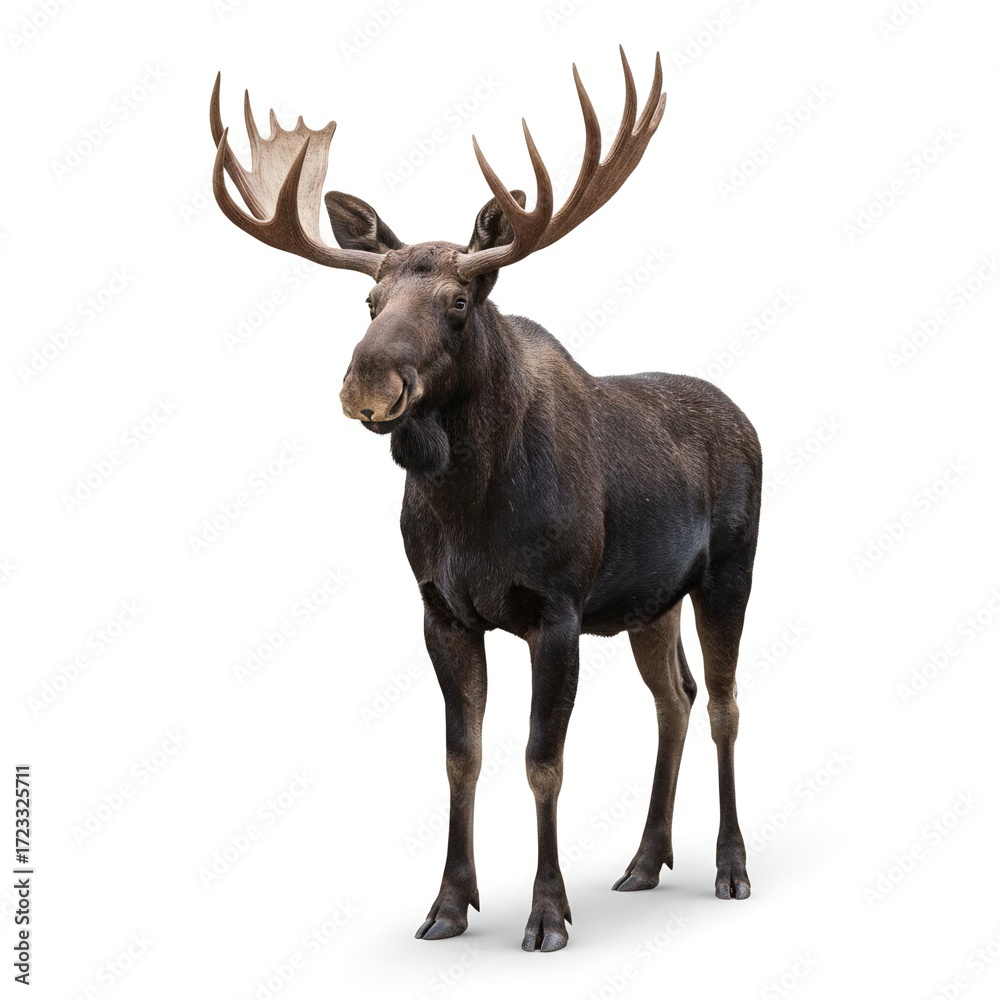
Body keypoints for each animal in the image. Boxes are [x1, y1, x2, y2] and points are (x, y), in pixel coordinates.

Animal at [210, 48, 762, 953]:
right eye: (370, 302)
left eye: (459, 303)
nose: (367, 384)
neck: (469, 511)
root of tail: (749, 419)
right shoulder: (442, 608)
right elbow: (458, 755)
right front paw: (447, 903)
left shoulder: (558, 606)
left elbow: (543, 759)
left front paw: (547, 913)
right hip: (651, 603)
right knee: (673, 701)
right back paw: (646, 861)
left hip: (729, 576)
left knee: (722, 704)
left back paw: (729, 866)